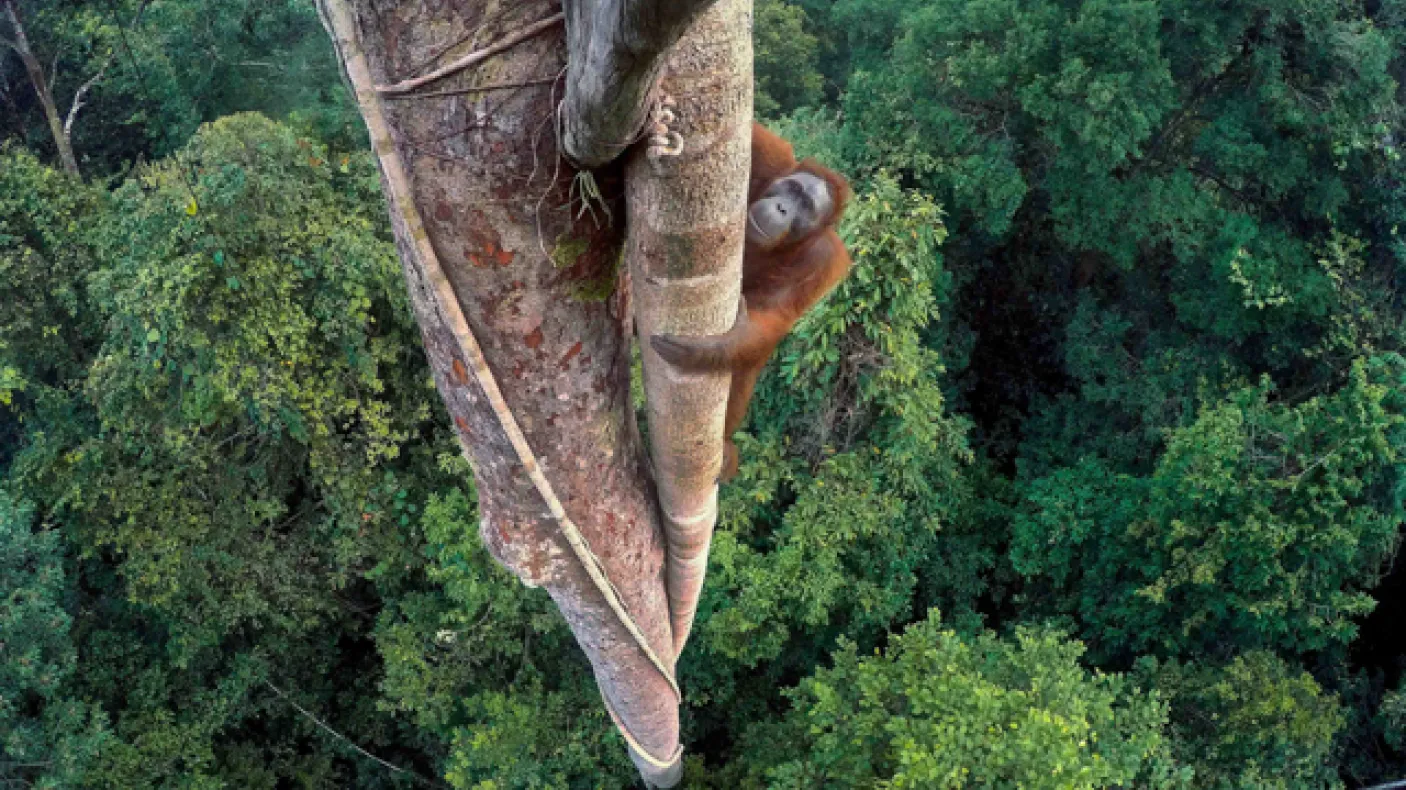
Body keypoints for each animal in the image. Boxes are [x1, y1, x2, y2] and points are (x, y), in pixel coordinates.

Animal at [650, 122, 853, 482]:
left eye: (805, 206)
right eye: (791, 189)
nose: (783, 208)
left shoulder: (824, 259)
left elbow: (771, 316)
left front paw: (714, 346)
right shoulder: (771, 160)